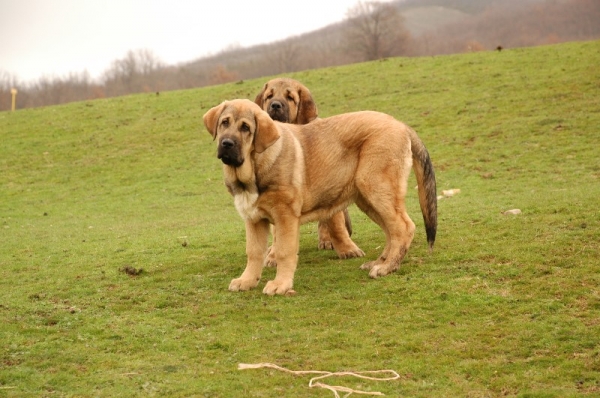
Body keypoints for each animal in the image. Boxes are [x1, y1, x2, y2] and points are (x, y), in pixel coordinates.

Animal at [204, 99, 438, 296]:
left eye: (246, 128)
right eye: (224, 123)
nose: (226, 143)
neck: (253, 167)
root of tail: (401, 125)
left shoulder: (285, 217)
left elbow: (284, 252)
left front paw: (281, 284)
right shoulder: (254, 219)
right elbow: (253, 253)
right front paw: (247, 281)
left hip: (377, 189)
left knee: (403, 227)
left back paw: (387, 267)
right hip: (368, 198)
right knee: (392, 231)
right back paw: (380, 262)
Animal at [254, 77, 360, 258]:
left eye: (290, 98)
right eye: (269, 96)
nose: (275, 105)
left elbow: (335, 223)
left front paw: (347, 249)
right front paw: (274, 254)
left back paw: (327, 240)